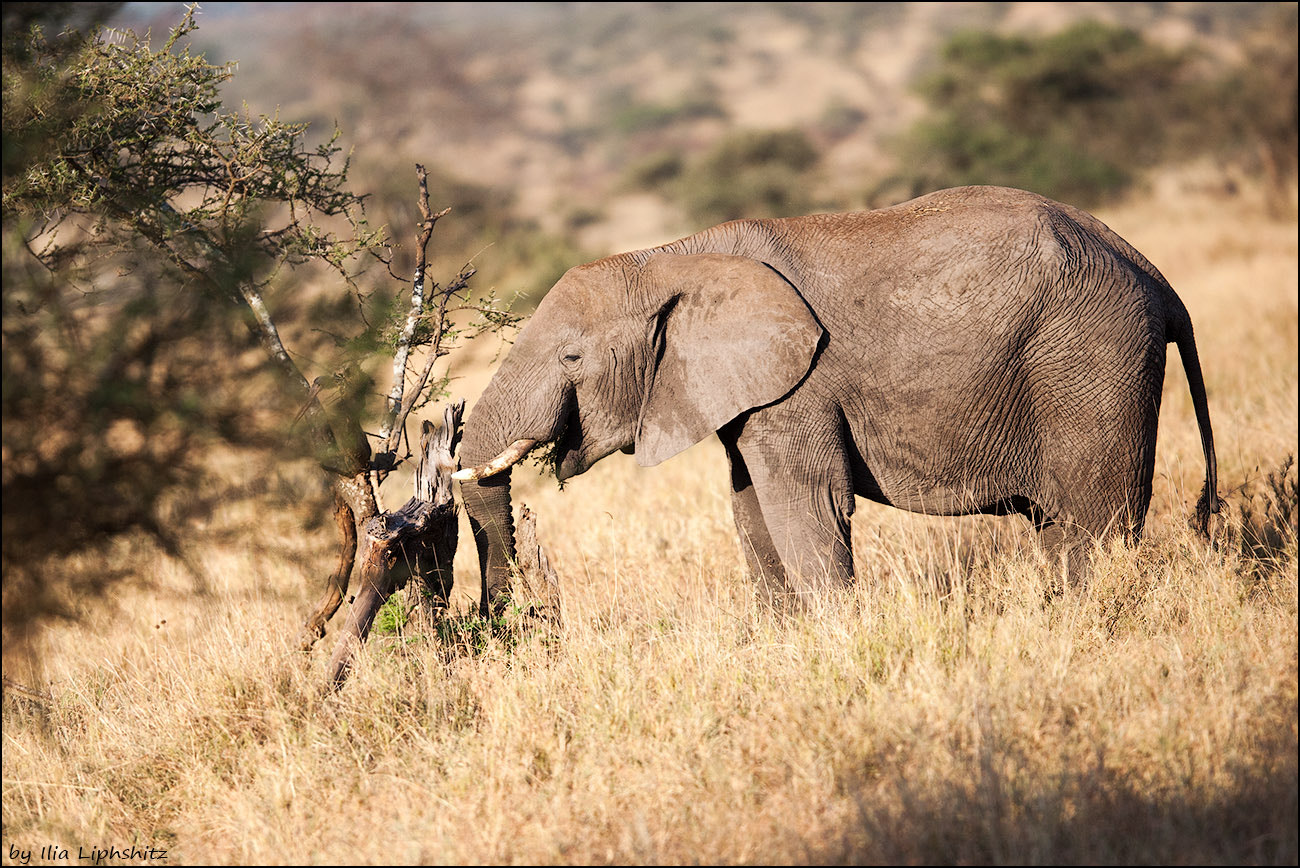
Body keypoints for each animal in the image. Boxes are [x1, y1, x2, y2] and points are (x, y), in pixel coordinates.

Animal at [452, 187, 1211, 613]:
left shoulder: (802, 386)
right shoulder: (748, 397)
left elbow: (803, 505)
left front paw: (834, 634)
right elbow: (751, 511)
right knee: (1063, 527)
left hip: (1091, 361)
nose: (498, 617)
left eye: (571, 358)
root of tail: (1155, 276)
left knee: (1095, 522)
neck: (673, 256)